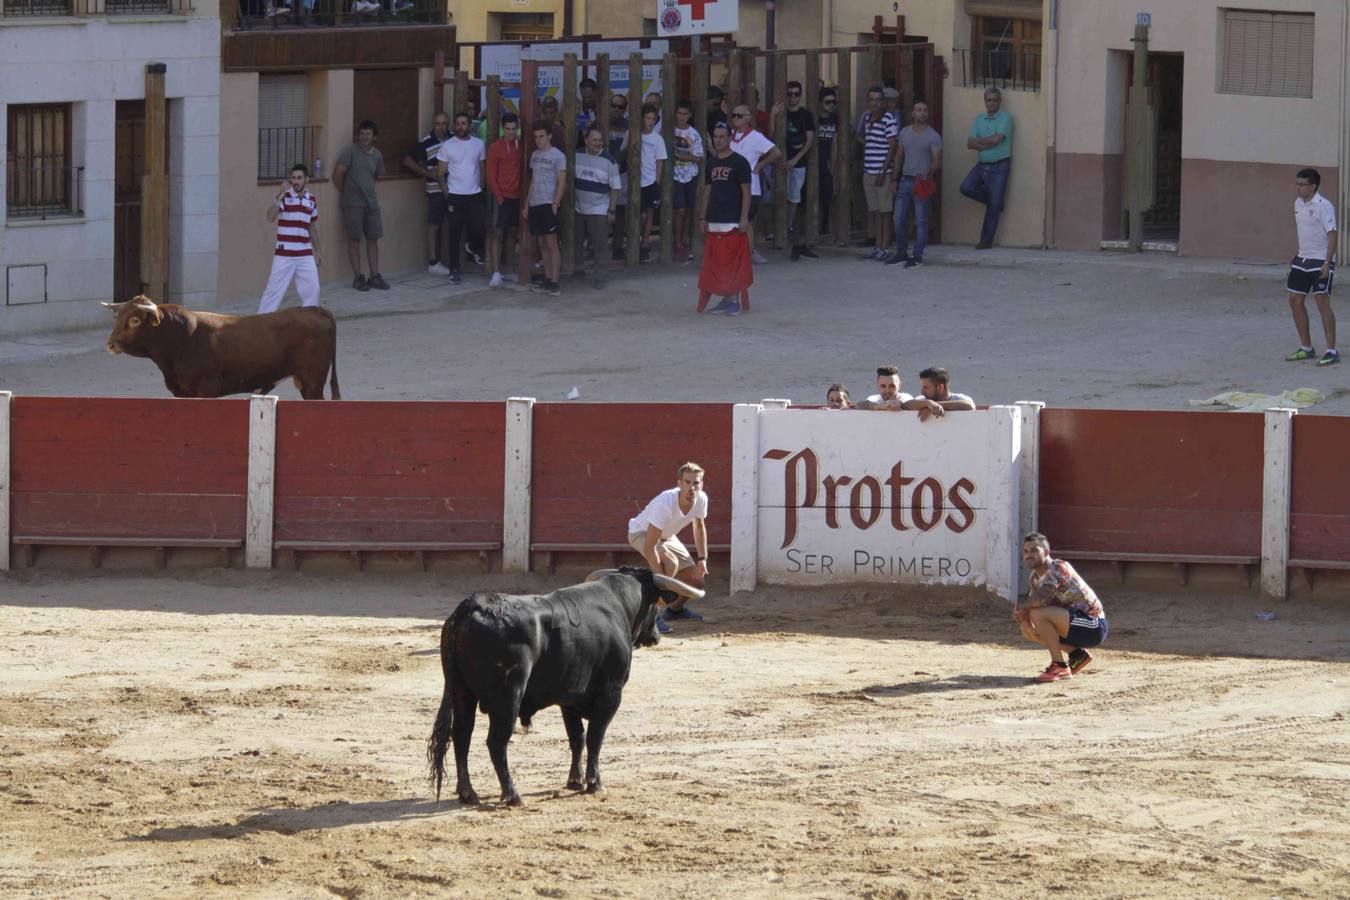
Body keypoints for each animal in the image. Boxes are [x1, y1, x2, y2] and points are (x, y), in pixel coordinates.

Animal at [102, 295, 340, 396]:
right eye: (118, 317)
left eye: (135, 320)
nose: (110, 345)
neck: (183, 338)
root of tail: (316, 310)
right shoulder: (182, 392)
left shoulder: (207, 389)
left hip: (312, 382)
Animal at [426, 566, 707, 804]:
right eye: (655, 606)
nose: (655, 637)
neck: (619, 605)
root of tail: (470, 607)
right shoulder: (611, 693)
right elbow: (595, 738)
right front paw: (594, 783)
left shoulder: (569, 697)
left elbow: (577, 738)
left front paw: (575, 780)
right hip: (508, 697)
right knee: (496, 741)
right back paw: (512, 795)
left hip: (461, 692)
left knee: (461, 735)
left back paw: (468, 793)